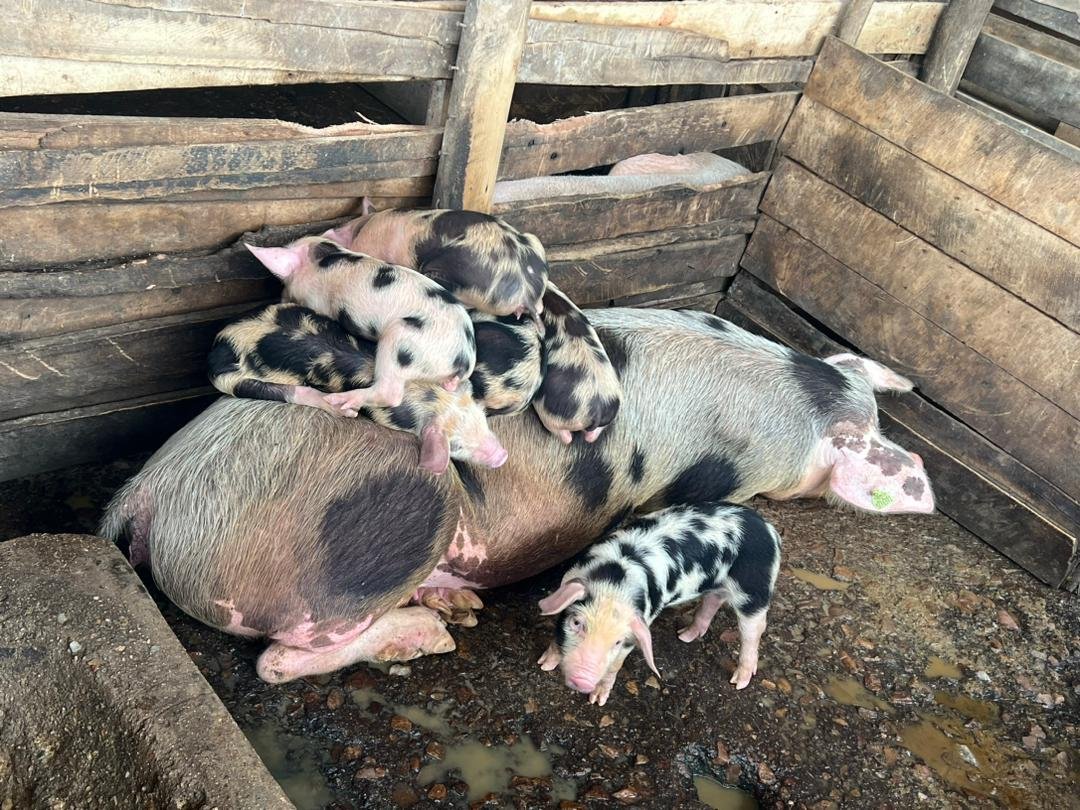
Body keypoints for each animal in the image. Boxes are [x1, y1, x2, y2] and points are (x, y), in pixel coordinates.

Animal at [208, 303, 507, 474]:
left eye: (482, 420)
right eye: (455, 446)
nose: (502, 456)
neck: (426, 395)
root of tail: (219, 343)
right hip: (233, 381)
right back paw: (343, 410)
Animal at [245, 236, 476, 414]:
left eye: (285, 284)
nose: (280, 299)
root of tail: (463, 360)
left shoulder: (318, 302)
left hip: (402, 340)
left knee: (389, 393)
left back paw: (340, 400)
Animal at [536, 502, 782, 705]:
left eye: (617, 641)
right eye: (577, 623)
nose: (583, 681)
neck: (614, 585)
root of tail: (770, 530)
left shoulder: (638, 628)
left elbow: (615, 665)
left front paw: (597, 700)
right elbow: (556, 636)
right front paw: (545, 664)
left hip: (754, 589)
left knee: (755, 629)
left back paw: (739, 682)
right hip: (720, 585)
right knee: (713, 600)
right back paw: (684, 636)